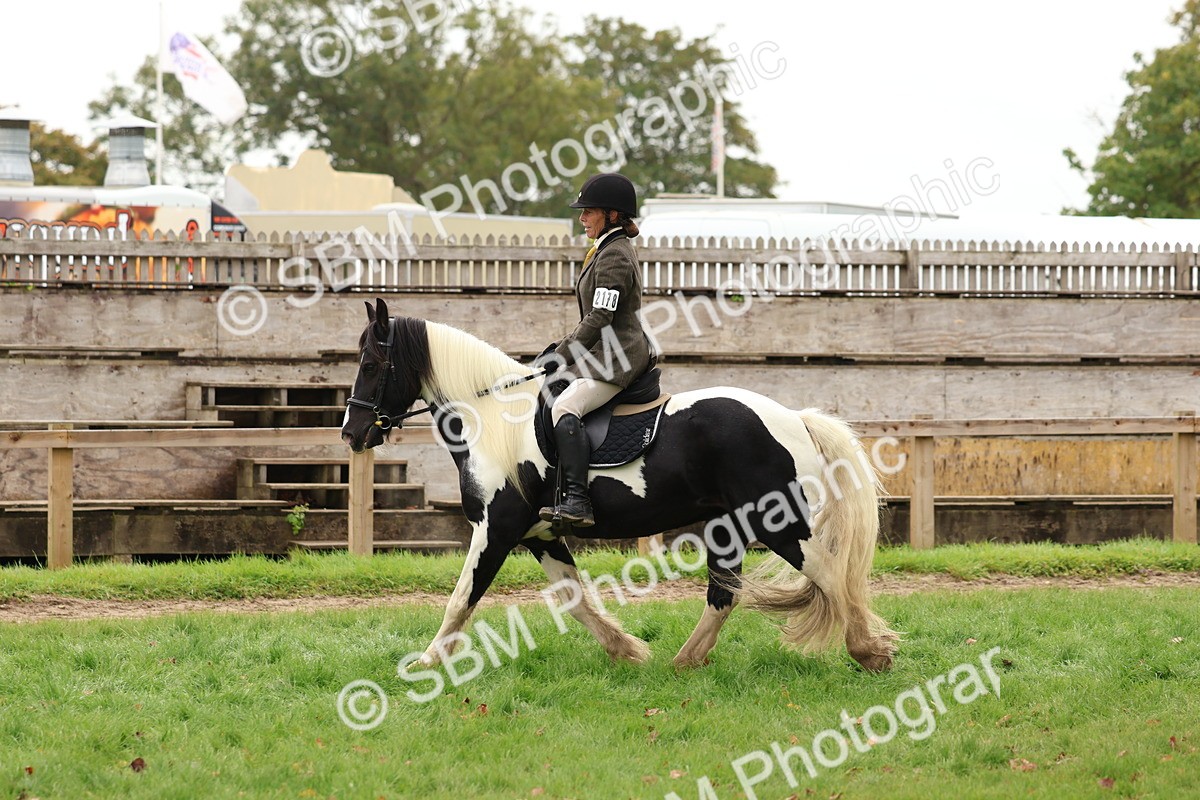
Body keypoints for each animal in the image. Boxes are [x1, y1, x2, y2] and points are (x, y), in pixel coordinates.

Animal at [341, 298, 899, 672]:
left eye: (371, 365)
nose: (351, 432)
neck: (493, 419)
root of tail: (796, 418)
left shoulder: (496, 529)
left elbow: (461, 598)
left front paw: (425, 665)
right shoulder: (538, 535)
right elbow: (574, 598)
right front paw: (626, 650)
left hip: (776, 519)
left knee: (828, 573)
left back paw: (870, 652)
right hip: (730, 525)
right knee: (725, 591)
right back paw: (683, 662)